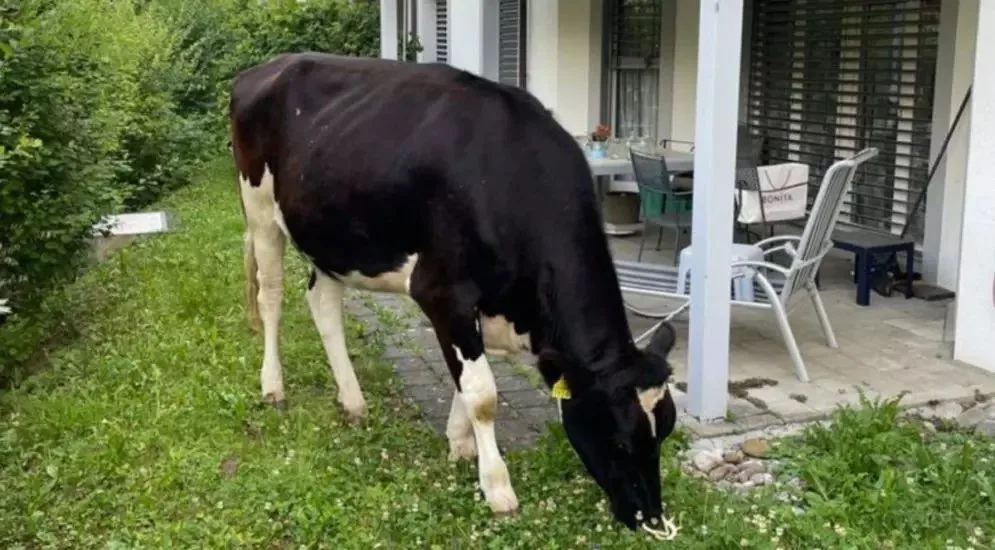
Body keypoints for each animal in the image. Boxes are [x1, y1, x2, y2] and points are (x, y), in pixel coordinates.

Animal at [230, 52, 679, 531]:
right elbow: (482, 394)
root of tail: (269, 66)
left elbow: (471, 382)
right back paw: (273, 385)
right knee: (271, 297)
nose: (651, 517)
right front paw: (497, 487)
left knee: (323, 303)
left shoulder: (490, 306)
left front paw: (459, 444)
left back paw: (353, 400)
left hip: (330, 234)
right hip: (260, 210)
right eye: (619, 438)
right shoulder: (444, 293)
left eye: (665, 432)